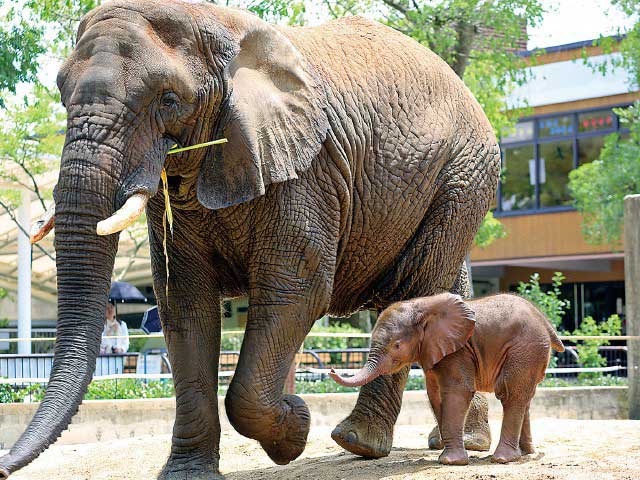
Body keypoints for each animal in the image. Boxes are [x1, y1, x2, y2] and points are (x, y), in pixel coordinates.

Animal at [0, 1, 500, 478]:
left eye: (168, 99)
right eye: (61, 92)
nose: (5, 466)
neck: (214, 24)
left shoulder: (306, 171)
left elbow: (294, 292)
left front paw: (294, 431)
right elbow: (184, 304)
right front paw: (189, 474)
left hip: (461, 176)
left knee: (415, 288)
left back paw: (361, 442)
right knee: (446, 288)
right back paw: (449, 442)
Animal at [330, 292, 564, 464]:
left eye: (396, 345)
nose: (332, 369)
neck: (421, 307)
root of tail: (544, 321)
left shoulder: (458, 350)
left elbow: (456, 392)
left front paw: (451, 462)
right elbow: (435, 396)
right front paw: (447, 457)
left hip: (525, 349)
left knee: (511, 394)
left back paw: (503, 459)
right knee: (524, 398)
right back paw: (525, 454)